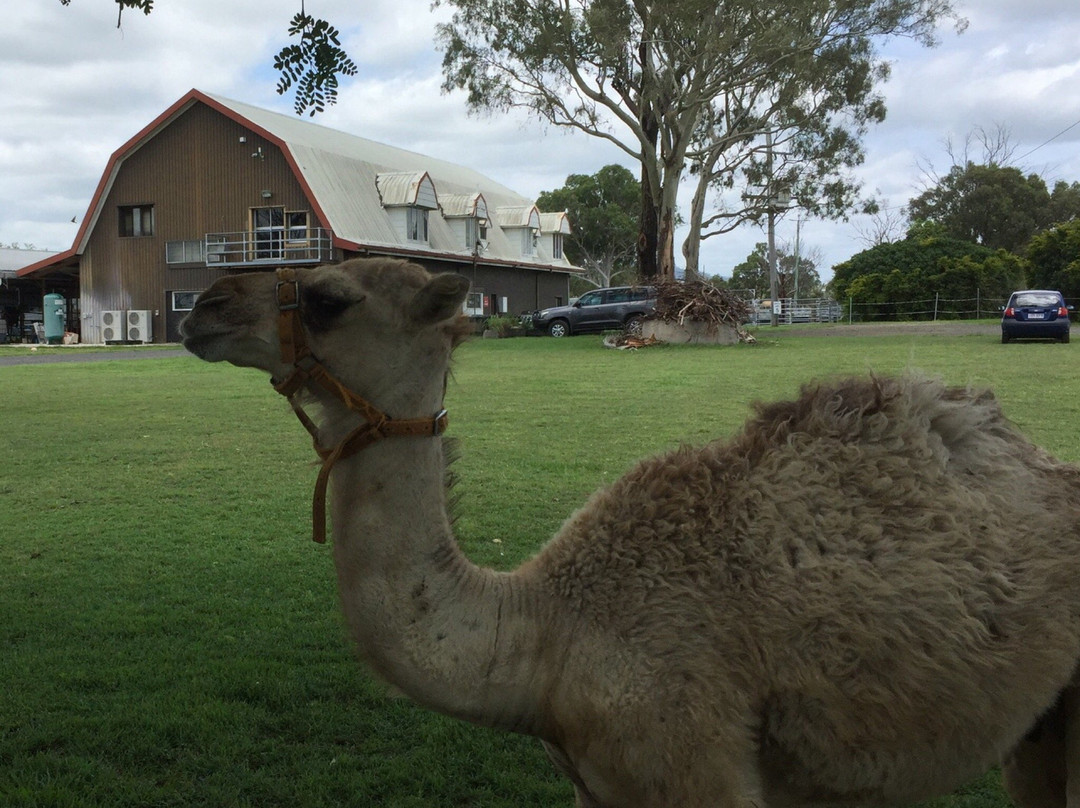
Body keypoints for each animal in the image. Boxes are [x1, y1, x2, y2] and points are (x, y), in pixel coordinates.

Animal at [181, 257, 1080, 808]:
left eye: (328, 299)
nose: (203, 307)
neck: (546, 634)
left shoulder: (691, 766)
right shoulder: (596, 785)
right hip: (1042, 723)